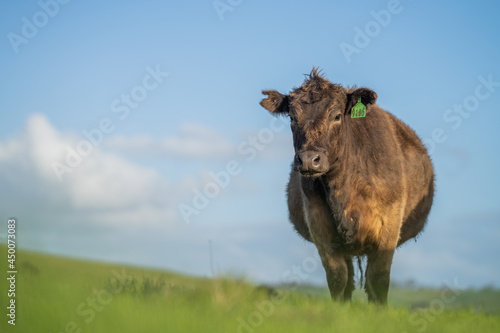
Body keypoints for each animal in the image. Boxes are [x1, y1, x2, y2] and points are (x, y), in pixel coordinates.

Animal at [262, 68, 434, 302]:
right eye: (292, 117)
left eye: (336, 116)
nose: (308, 160)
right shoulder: (320, 228)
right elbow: (338, 280)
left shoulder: (389, 226)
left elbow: (378, 280)